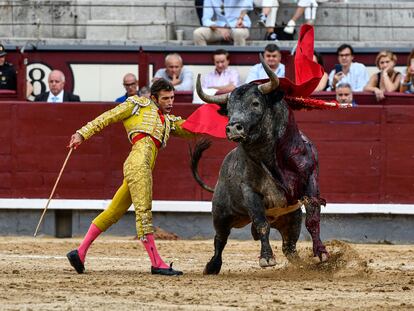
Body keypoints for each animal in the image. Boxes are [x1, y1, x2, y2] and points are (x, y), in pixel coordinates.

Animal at [191, 55, 330, 276]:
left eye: (255, 103)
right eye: (229, 110)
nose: (233, 128)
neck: (272, 156)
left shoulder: (310, 181)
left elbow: (313, 219)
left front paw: (321, 253)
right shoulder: (250, 192)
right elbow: (261, 223)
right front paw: (266, 258)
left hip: (291, 220)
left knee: (289, 246)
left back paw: (300, 264)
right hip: (220, 215)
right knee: (220, 239)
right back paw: (212, 266)